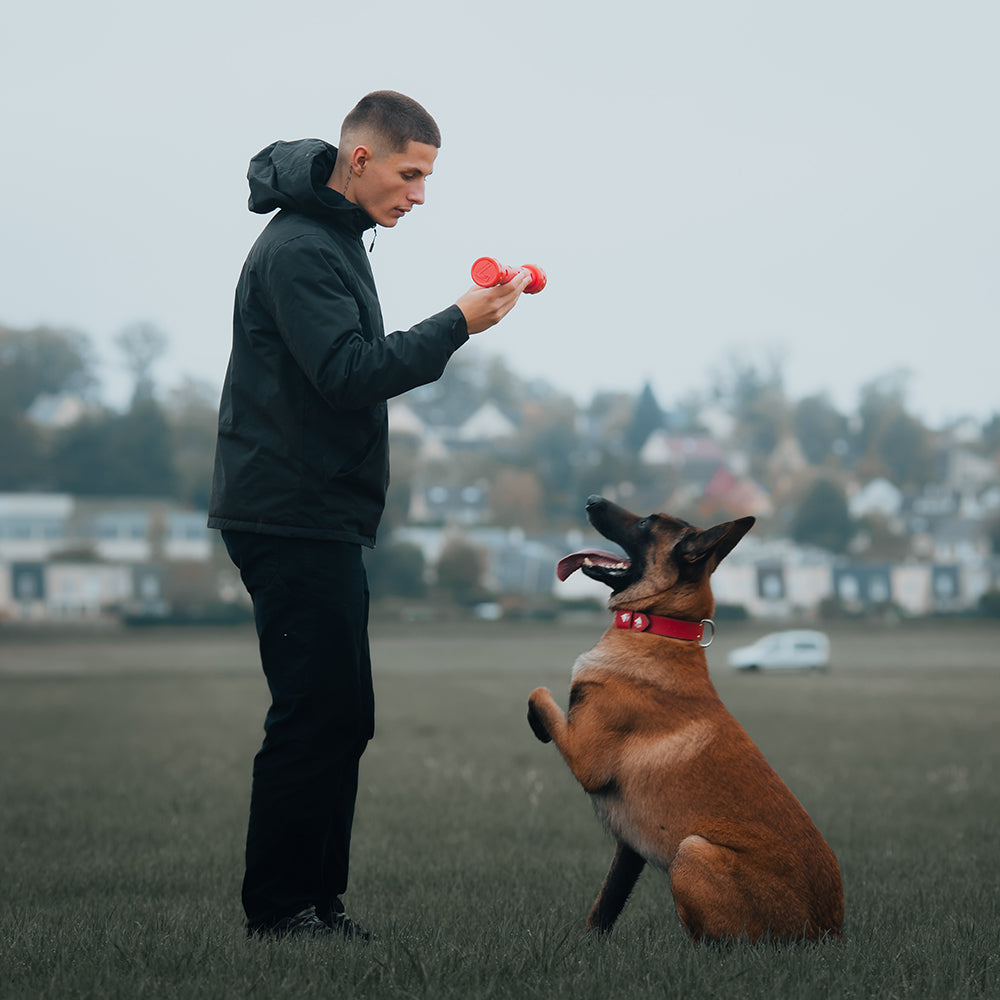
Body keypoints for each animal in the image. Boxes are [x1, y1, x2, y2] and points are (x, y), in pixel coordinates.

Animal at [528, 496, 848, 940]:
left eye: (645, 523)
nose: (592, 500)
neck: (658, 629)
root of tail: (826, 933)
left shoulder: (585, 759)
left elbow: (538, 693)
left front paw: (537, 726)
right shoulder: (629, 849)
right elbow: (605, 904)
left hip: (692, 851)